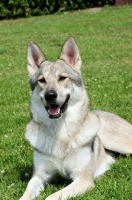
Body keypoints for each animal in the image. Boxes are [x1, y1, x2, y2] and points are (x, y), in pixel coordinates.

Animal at [19, 36, 132, 199]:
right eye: (42, 80)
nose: (50, 95)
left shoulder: (83, 179)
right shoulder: (39, 176)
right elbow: (25, 195)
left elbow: (50, 196)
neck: (60, 132)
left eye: (62, 78)